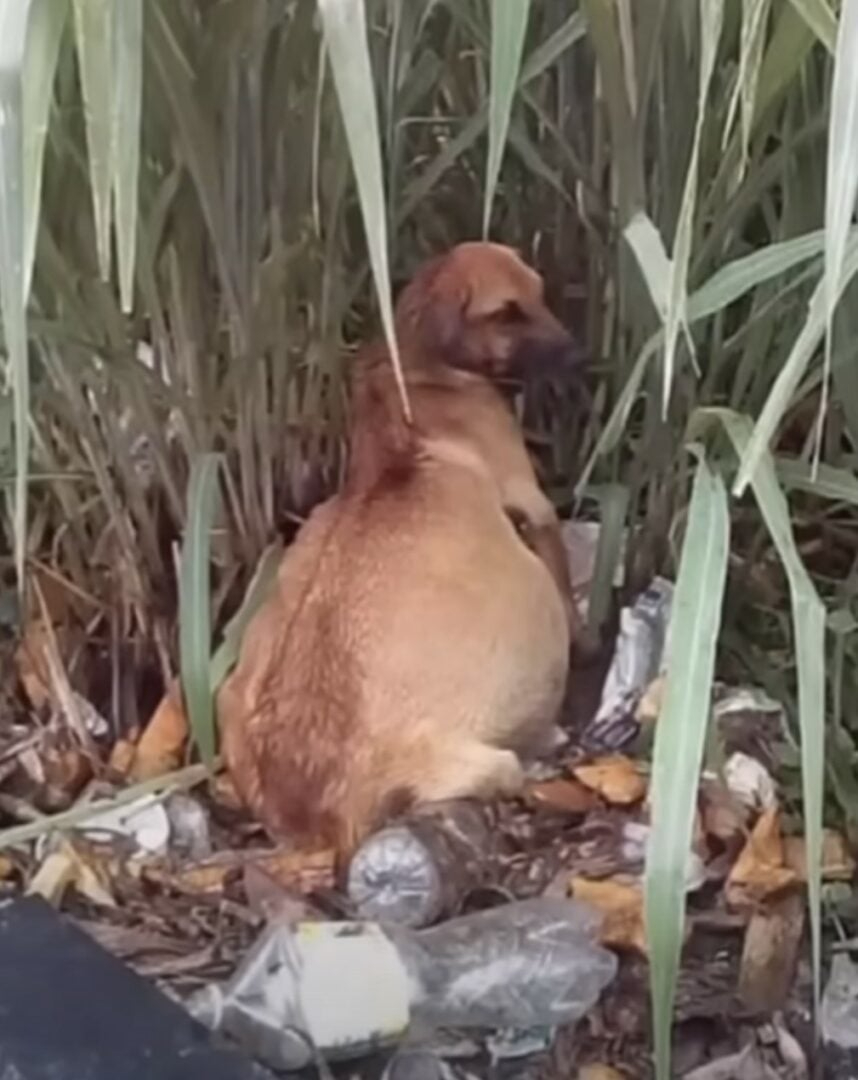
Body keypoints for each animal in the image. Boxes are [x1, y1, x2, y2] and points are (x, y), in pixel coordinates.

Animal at [220, 243, 579, 851]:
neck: (412, 364)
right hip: (486, 758)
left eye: (539, 292)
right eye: (506, 312)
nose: (575, 352)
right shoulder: (534, 506)